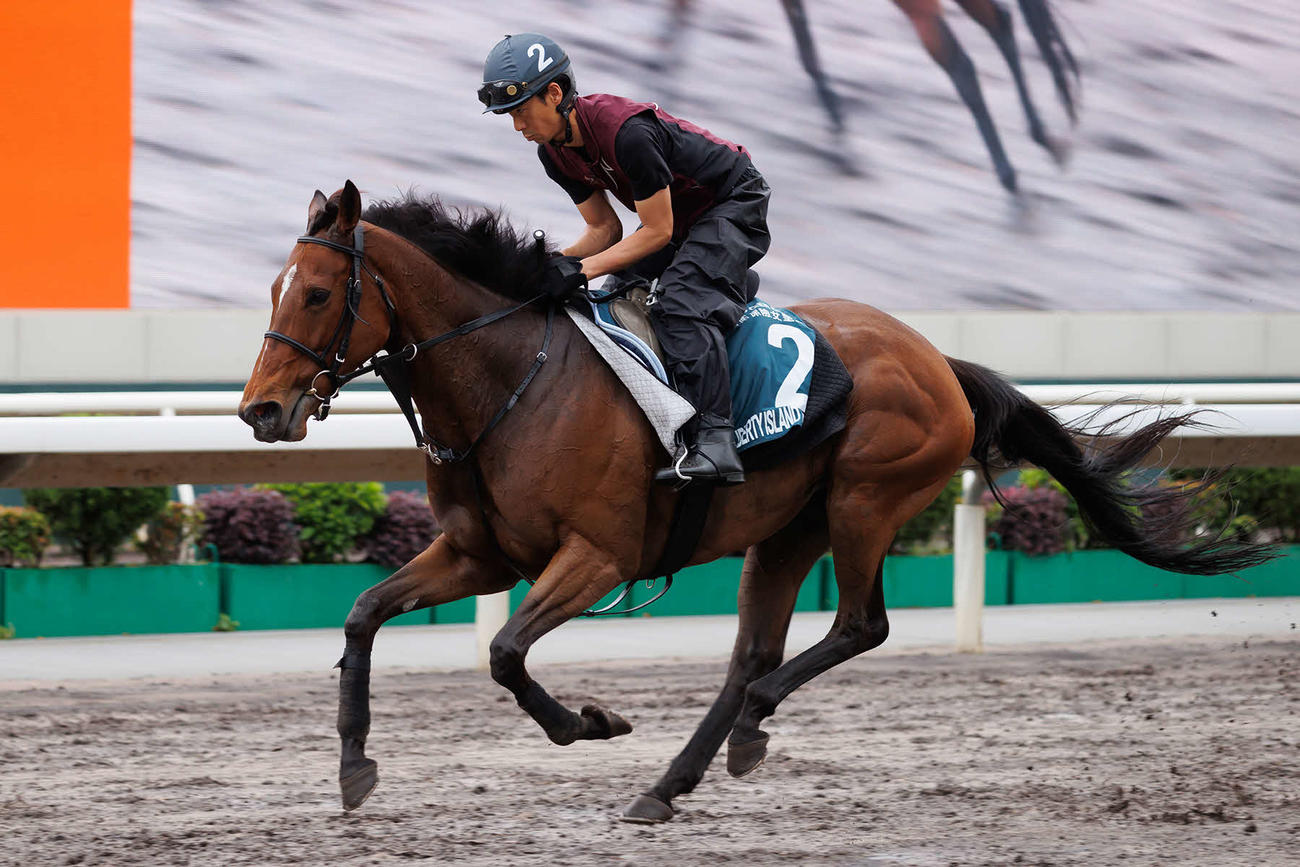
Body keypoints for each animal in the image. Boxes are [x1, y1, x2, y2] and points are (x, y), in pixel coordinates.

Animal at [239, 181, 1273, 823]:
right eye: (275, 286)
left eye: (320, 291)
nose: (261, 409)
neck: (510, 378)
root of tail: (940, 360)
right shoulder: (480, 553)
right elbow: (364, 613)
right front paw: (354, 767)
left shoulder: (597, 557)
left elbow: (503, 653)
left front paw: (590, 723)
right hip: (785, 531)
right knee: (753, 655)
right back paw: (673, 781)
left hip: (864, 500)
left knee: (855, 627)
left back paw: (741, 733)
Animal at [658, 0, 1079, 190]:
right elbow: (807, 50)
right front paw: (840, 137)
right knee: (1001, 23)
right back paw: (1042, 137)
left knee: (964, 67)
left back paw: (1011, 178)